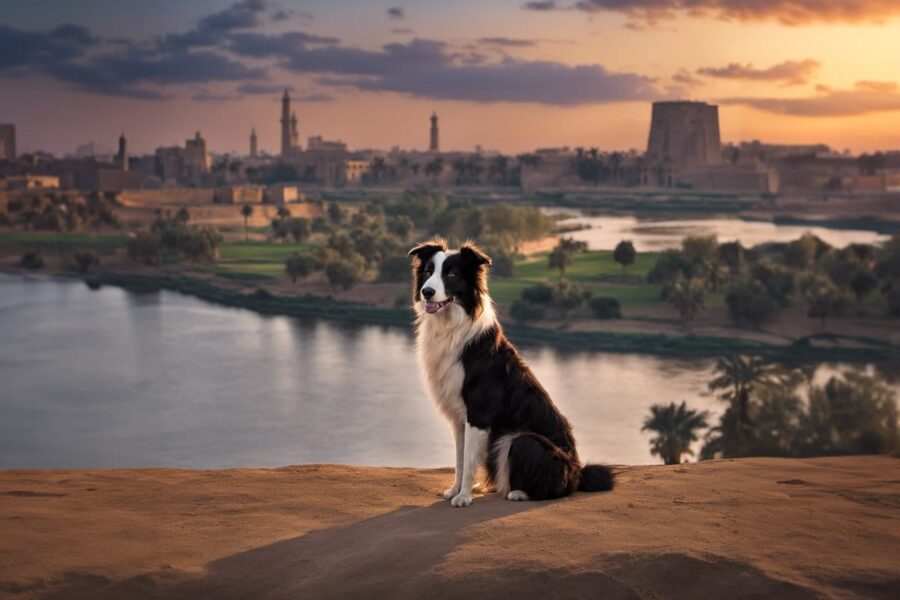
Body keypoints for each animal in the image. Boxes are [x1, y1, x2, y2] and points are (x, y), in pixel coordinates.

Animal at [410, 238, 616, 506]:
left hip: (521, 440)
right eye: (428, 271)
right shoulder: (459, 417)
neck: (452, 327)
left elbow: (468, 461)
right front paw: (455, 490)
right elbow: (460, 459)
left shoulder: (478, 414)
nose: (427, 291)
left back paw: (518, 492)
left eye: (452, 274)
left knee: (554, 487)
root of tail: (577, 472)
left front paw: (464, 496)